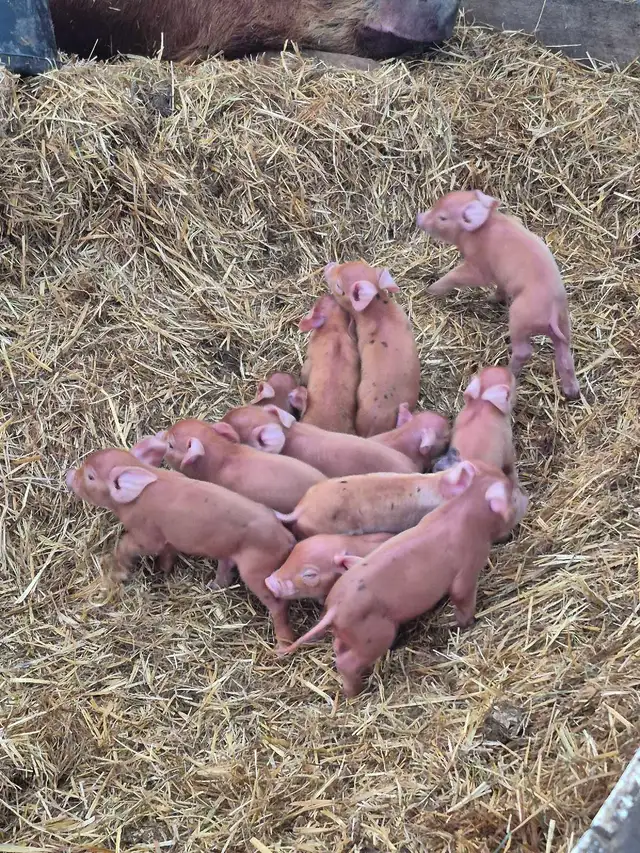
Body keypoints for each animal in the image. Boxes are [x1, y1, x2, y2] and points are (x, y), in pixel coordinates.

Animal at [65, 444, 297, 649]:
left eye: (90, 476)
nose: (69, 474)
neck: (136, 497)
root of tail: (287, 539)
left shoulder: (147, 534)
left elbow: (126, 546)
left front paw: (119, 573)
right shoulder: (169, 539)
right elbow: (168, 554)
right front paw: (163, 572)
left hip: (257, 570)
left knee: (278, 605)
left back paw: (282, 648)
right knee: (225, 571)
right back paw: (211, 586)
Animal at [416, 190, 580, 399]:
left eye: (442, 217)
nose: (418, 217)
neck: (477, 231)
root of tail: (551, 309)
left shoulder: (478, 267)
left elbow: (457, 275)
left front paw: (430, 289)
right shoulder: (499, 275)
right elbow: (500, 287)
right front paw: (492, 299)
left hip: (520, 317)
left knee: (524, 351)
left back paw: (508, 371)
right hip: (563, 323)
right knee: (565, 355)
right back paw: (572, 393)